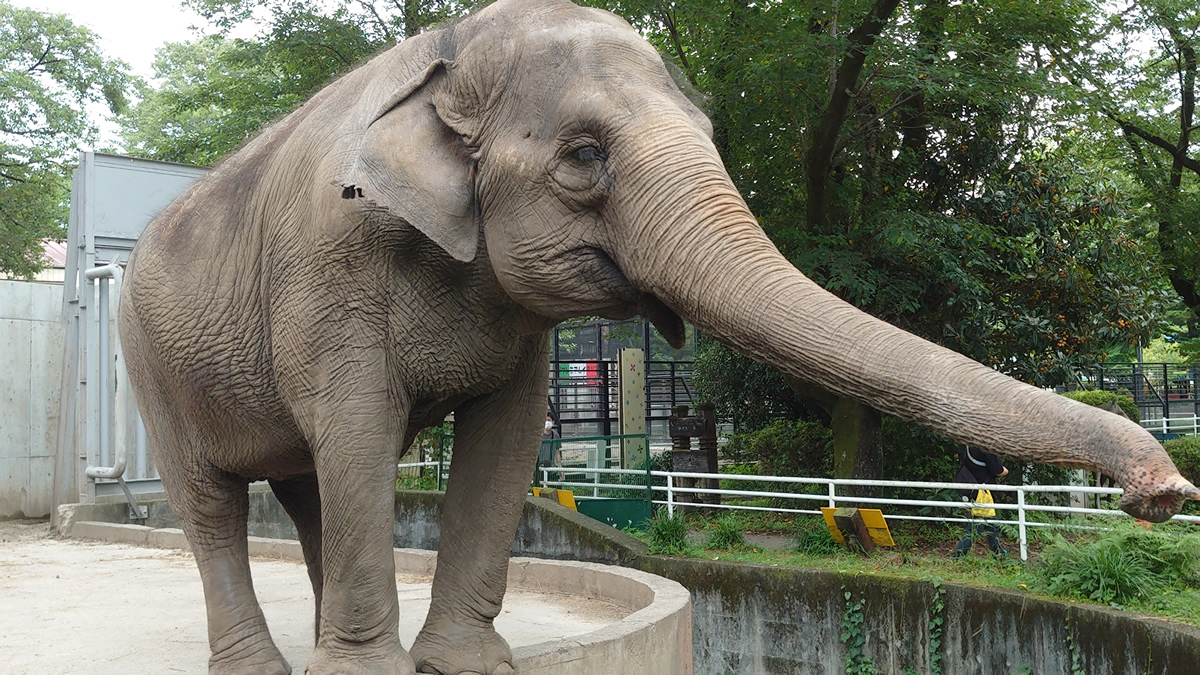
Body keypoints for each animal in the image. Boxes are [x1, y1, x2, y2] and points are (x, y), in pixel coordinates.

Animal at [121, 0, 1200, 667]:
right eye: (583, 156)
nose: (1165, 489)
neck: (447, 49)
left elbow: (502, 445)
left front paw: (461, 666)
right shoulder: (328, 272)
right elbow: (358, 431)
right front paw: (377, 674)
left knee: (306, 489)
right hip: (146, 360)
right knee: (216, 502)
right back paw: (269, 661)